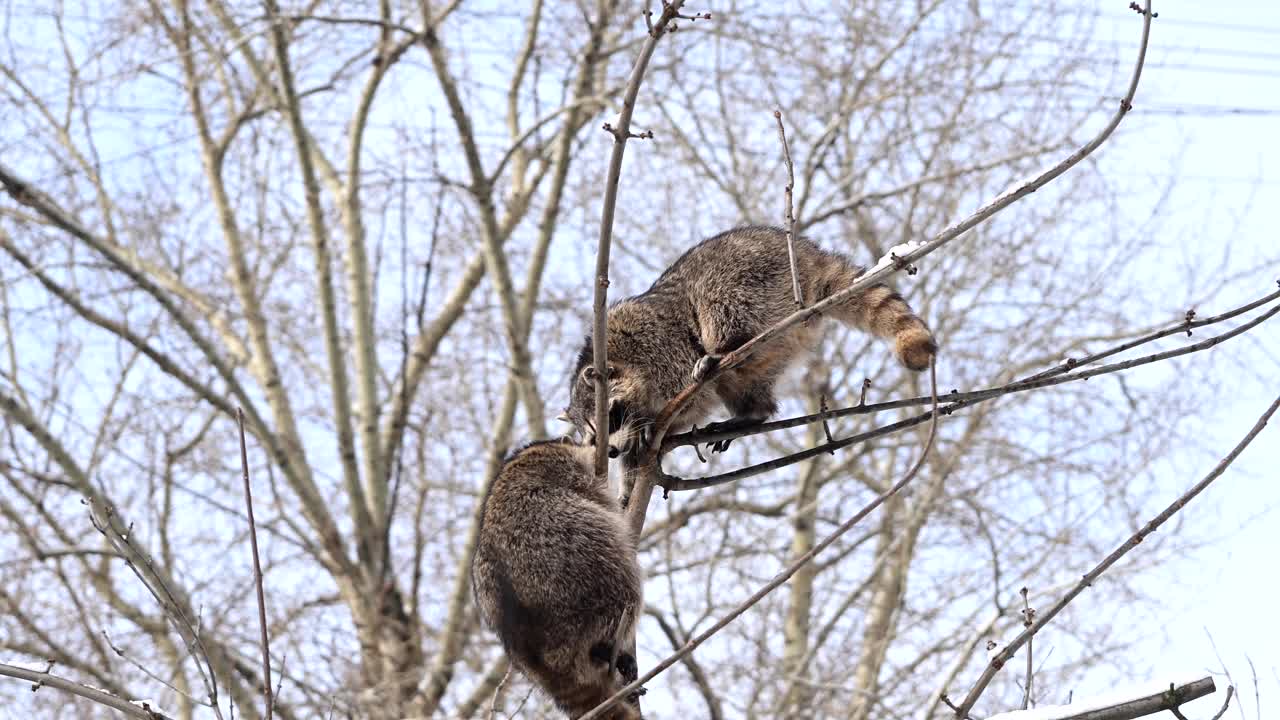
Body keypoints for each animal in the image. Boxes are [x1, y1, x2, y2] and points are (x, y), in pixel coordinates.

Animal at [473, 435, 645, 712]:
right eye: (594, 442)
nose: (613, 450)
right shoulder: (567, 470)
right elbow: (599, 499)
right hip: (580, 561)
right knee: (624, 585)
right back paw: (605, 647)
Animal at [565, 224, 936, 453]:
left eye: (611, 414)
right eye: (592, 436)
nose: (612, 453)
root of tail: (807, 254)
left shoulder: (657, 343)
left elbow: (687, 390)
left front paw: (657, 424)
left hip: (750, 278)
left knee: (718, 305)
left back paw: (722, 351)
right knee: (744, 381)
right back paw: (753, 411)